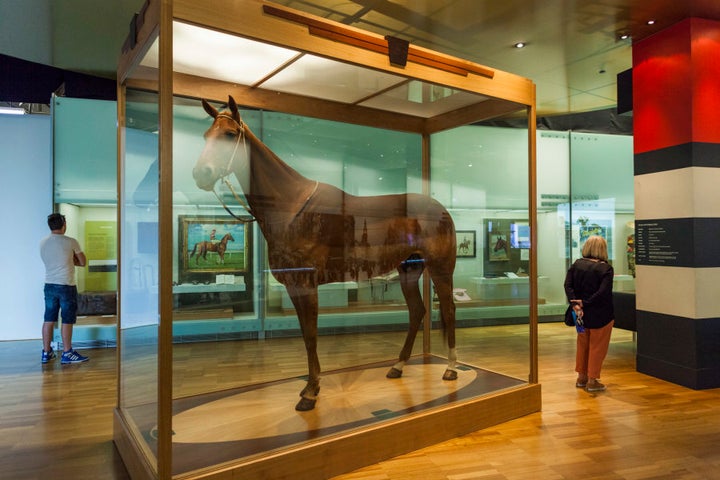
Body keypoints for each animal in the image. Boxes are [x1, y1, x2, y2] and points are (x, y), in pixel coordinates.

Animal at [194, 95, 458, 410]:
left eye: (230, 134)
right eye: (206, 135)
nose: (201, 174)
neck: (291, 207)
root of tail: (441, 210)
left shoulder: (307, 284)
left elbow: (311, 335)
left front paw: (310, 391)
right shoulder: (294, 286)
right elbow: (306, 335)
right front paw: (310, 386)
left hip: (441, 268)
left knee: (449, 309)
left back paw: (451, 368)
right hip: (409, 269)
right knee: (417, 311)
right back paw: (398, 366)